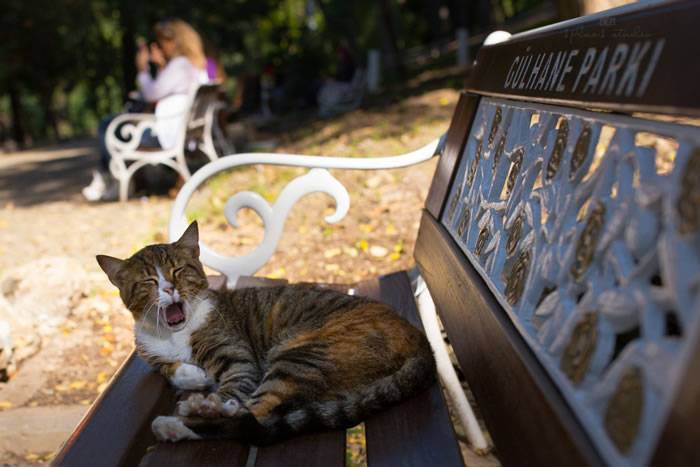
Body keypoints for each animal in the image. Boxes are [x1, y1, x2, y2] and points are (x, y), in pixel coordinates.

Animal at [94, 223, 432, 446]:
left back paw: (188, 416)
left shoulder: (237, 359)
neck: (172, 334)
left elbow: (232, 388)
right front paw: (192, 375)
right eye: (149, 281)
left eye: (178, 271)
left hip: (302, 355)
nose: (168, 288)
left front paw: (207, 392)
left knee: (251, 416)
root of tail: (421, 341)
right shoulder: (147, 349)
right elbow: (165, 365)